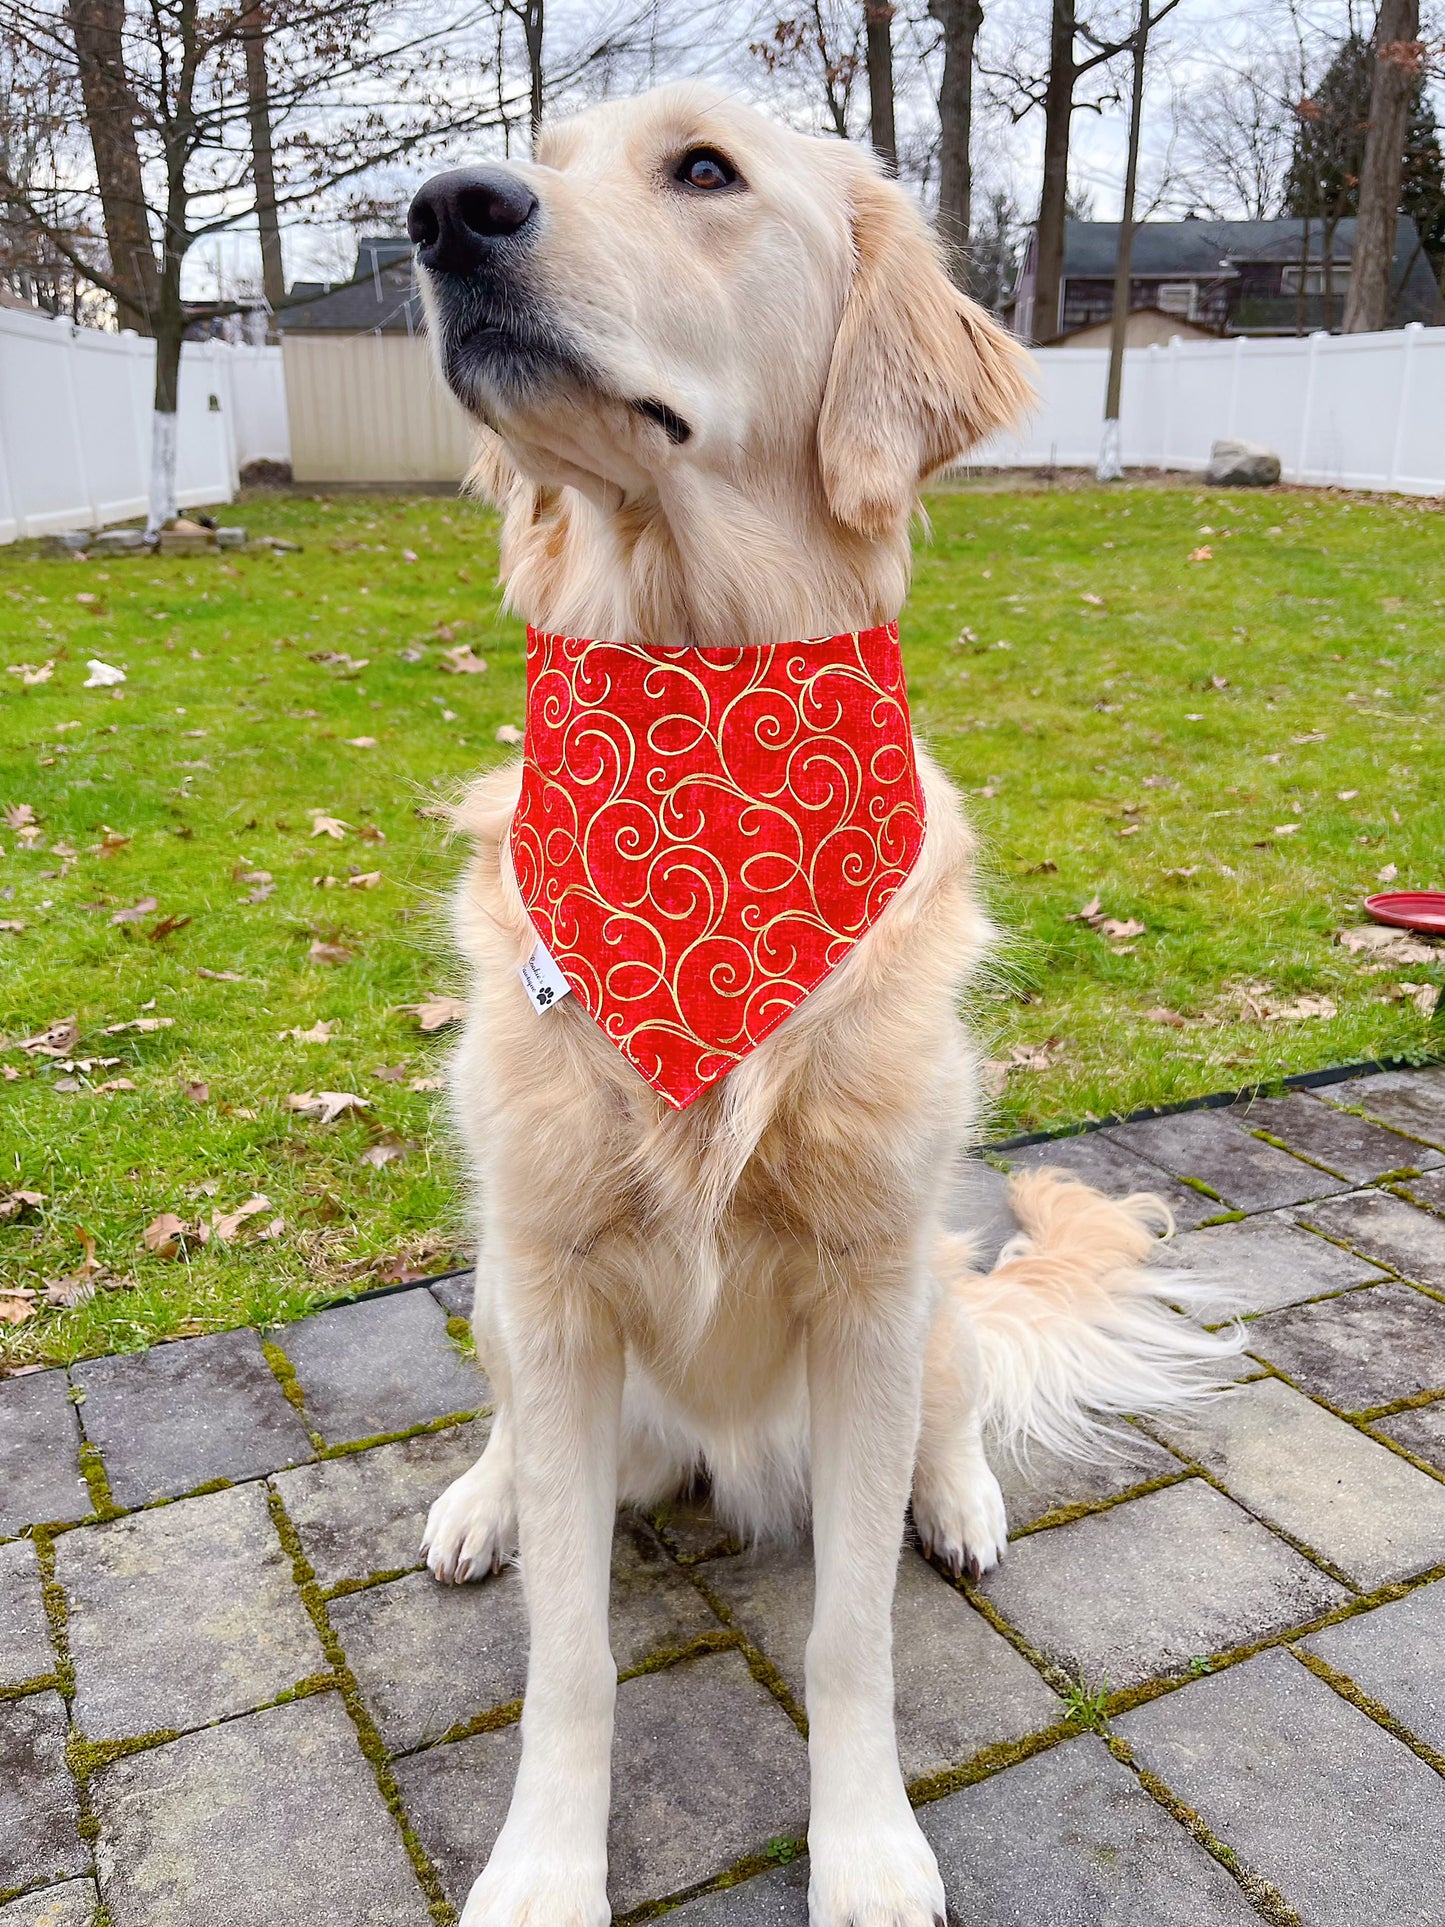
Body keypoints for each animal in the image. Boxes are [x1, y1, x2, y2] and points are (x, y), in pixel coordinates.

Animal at [404, 82, 1233, 1927]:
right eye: (539, 156)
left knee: (957, 1401)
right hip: (503, 1287)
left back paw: (963, 1498)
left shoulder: (863, 1292)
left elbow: (854, 1638)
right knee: (512, 1437)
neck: (699, 705)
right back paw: (480, 1498)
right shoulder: (552, 1284)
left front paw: (866, 1852)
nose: (441, 211)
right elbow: (569, 1656)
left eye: (702, 169)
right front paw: (542, 1865)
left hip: (928, 1289)